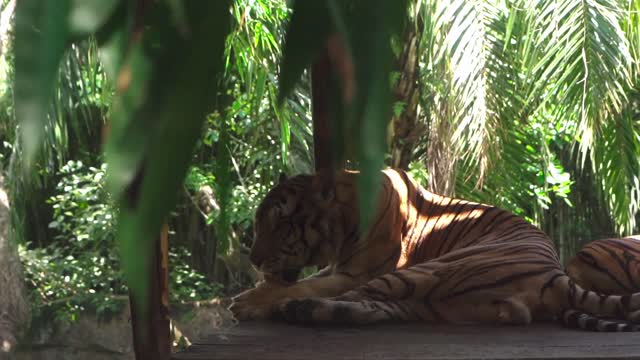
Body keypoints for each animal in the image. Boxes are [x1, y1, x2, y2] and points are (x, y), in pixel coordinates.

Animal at [230, 169, 640, 332]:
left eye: (281, 224)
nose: (254, 260)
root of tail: (556, 274)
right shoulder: (338, 267)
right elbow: (304, 279)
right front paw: (258, 291)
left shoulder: (357, 271)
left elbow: (306, 282)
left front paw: (250, 301)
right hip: (431, 300)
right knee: (374, 310)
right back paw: (301, 311)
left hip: (427, 271)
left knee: (357, 300)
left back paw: (288, 309)